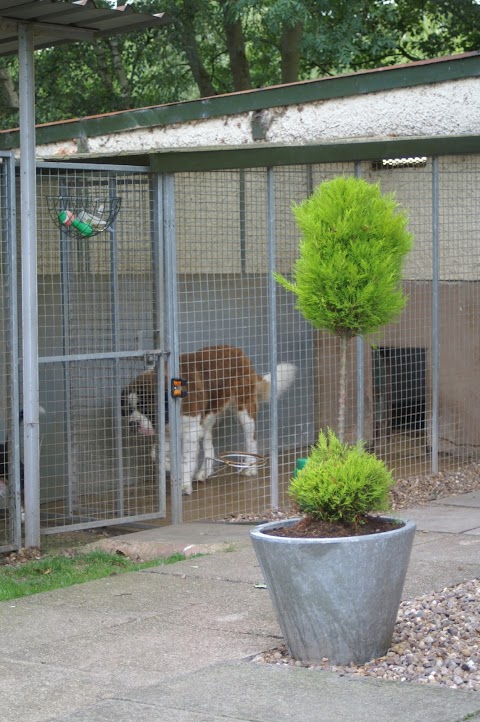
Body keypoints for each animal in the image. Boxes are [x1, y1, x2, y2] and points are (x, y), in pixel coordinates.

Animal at [123, 344, 296, 496]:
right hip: (208, 416)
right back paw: (204, 473)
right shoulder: (168, 432)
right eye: (128, 410)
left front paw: (184, 484)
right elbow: (157, 454)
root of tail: (237, 351)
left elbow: (185, 459)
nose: (132, 423)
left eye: (145, 409)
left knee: (251, 439)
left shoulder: (190, 430)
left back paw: (250, 468)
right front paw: (172, 468)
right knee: (209, 447)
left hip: (244, 410)